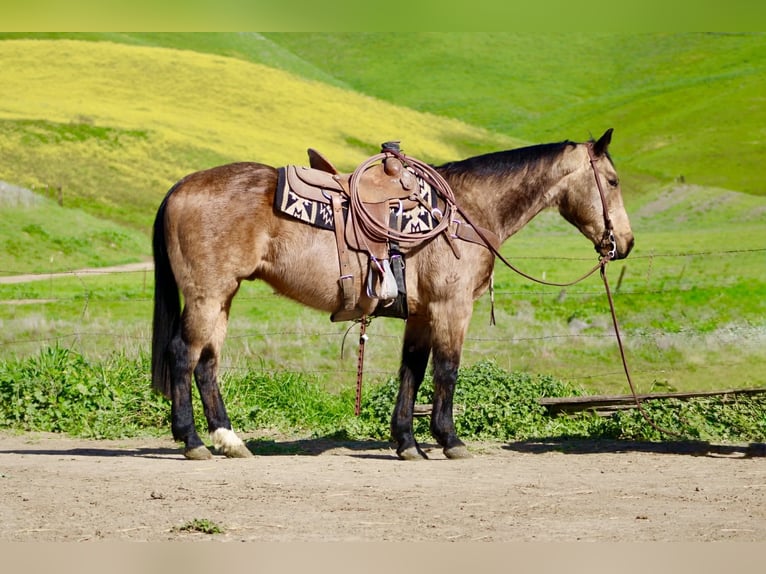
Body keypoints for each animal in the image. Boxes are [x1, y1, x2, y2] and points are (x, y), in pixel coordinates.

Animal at [151, 128, 634, 461]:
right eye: (612, 181)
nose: (624, 243)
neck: (466, 212)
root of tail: (180, 187)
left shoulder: (420, 314)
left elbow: (412, 372)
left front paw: (407, 443)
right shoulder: (451, 308)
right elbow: (447, 371)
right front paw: (449, 439)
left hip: (222, 297)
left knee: (207, 363)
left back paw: (229, 439)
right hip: (207, 295)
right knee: (184, 355)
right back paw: (192, 440)